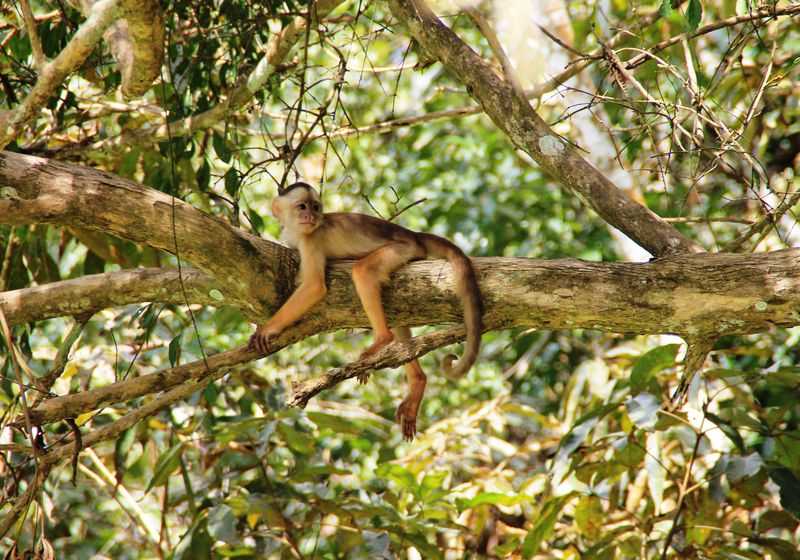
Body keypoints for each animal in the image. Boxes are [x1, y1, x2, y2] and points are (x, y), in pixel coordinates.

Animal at [249, 182, 482, 440]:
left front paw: (268, 328)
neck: (301, 231)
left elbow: (314, 286)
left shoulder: (310, 240)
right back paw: (418, 382)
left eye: (315, 207)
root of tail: (412, 234)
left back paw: (382, 340)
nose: (311, 216)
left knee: (363, 272)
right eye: (302, 207)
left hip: (401, 249)